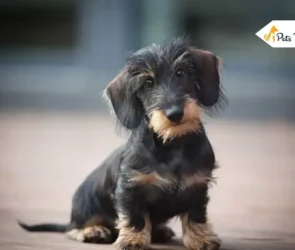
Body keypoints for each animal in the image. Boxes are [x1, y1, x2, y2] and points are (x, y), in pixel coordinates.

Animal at [17, 37, 227, 250]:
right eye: (148, 83)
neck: (172, 144)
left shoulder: (197, 185)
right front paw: (133, 240)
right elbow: (135, 217)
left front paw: (201, 239)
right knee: (73, 229)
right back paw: (93, 231)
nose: (175, 114)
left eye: (180, 72)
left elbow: (195, 216)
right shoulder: (130, 187)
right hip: (87, 203)